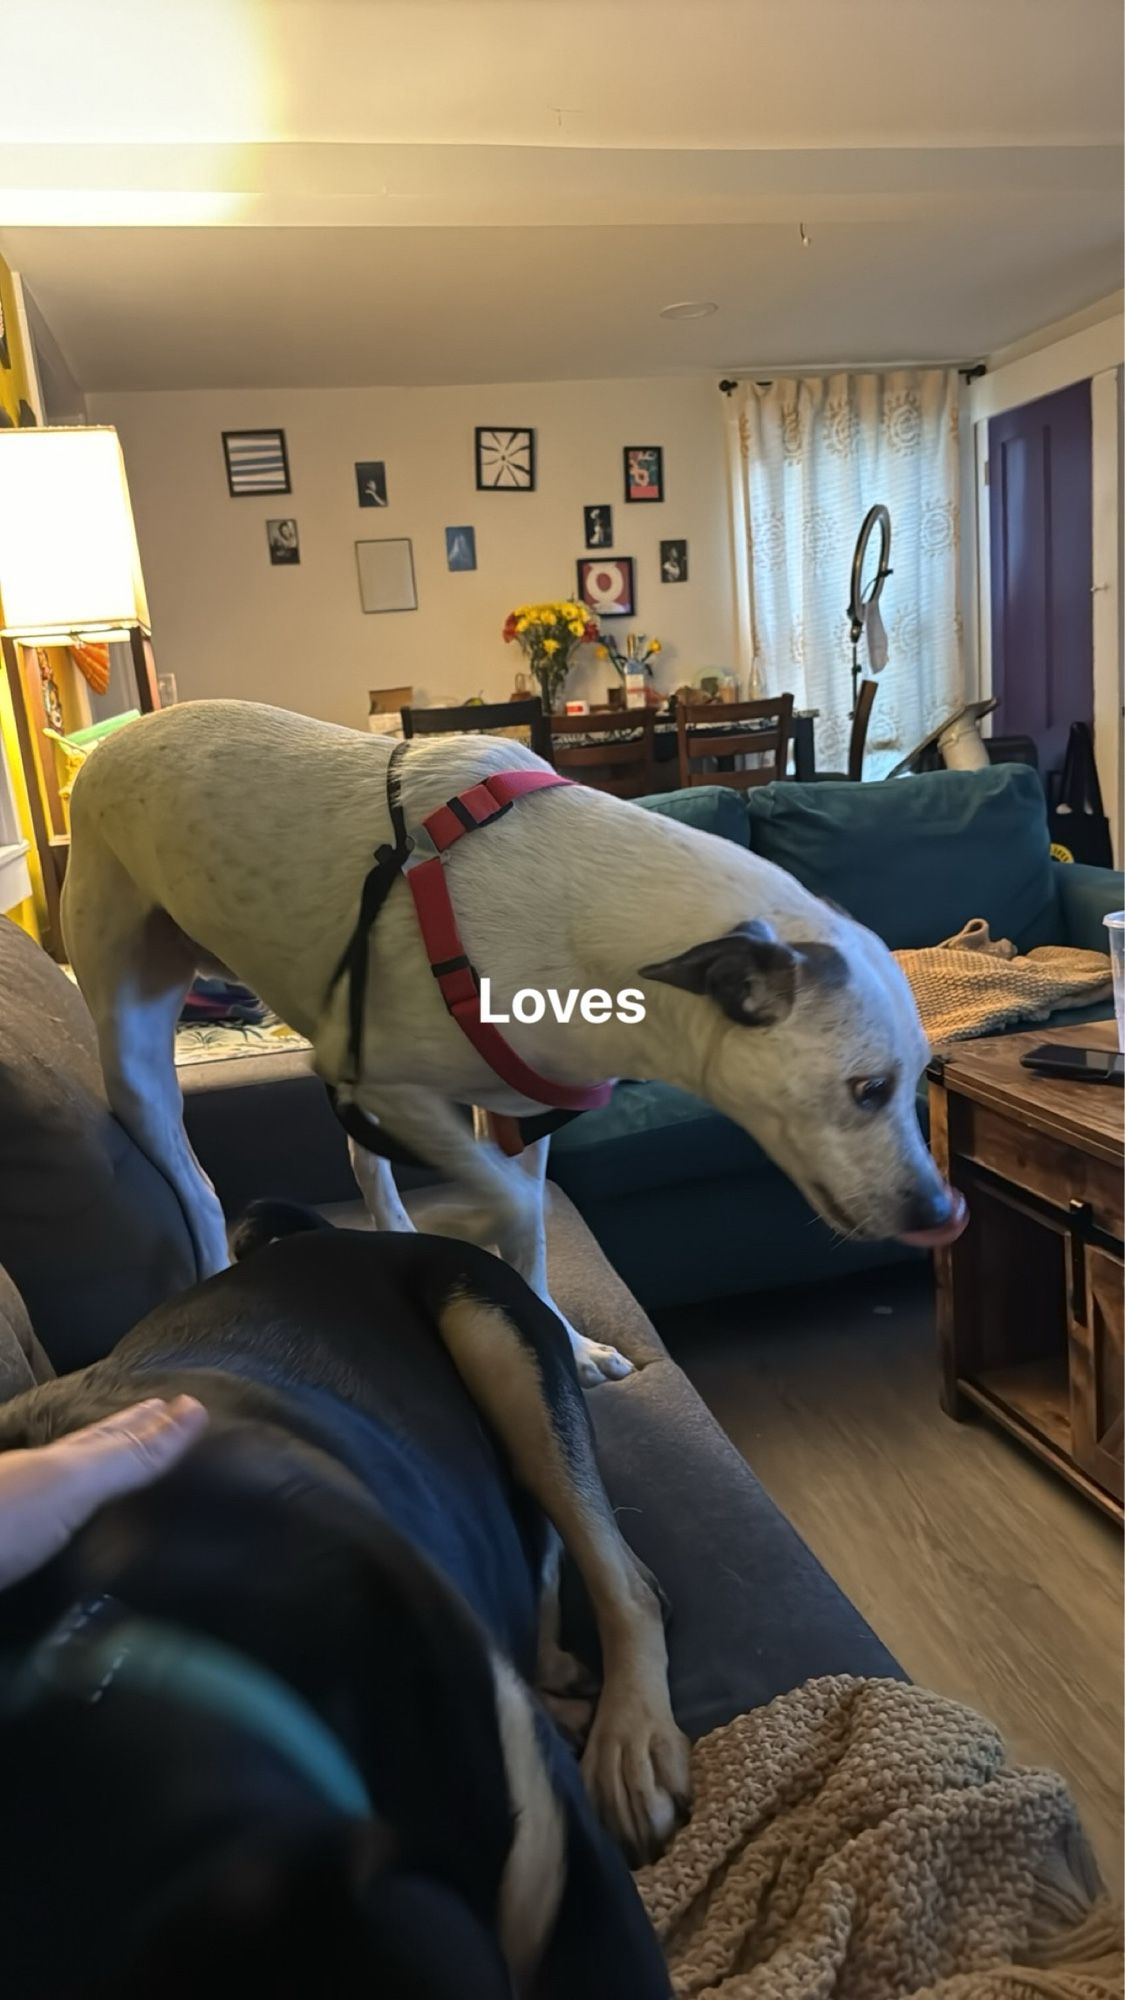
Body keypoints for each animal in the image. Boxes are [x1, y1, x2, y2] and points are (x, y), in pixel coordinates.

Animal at [61, 712, 960, 1384]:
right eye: (868, 1089)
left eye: (921, 1077)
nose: (942, 1213)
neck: (599, 925)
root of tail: (114, 740)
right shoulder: (402, 1093)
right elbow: (511, 1209)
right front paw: (462, 1226)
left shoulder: (521, 1115)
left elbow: (526, 1234)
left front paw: (567, 1342)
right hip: (137, 1056)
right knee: (200, 1190)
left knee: (361, 1165)